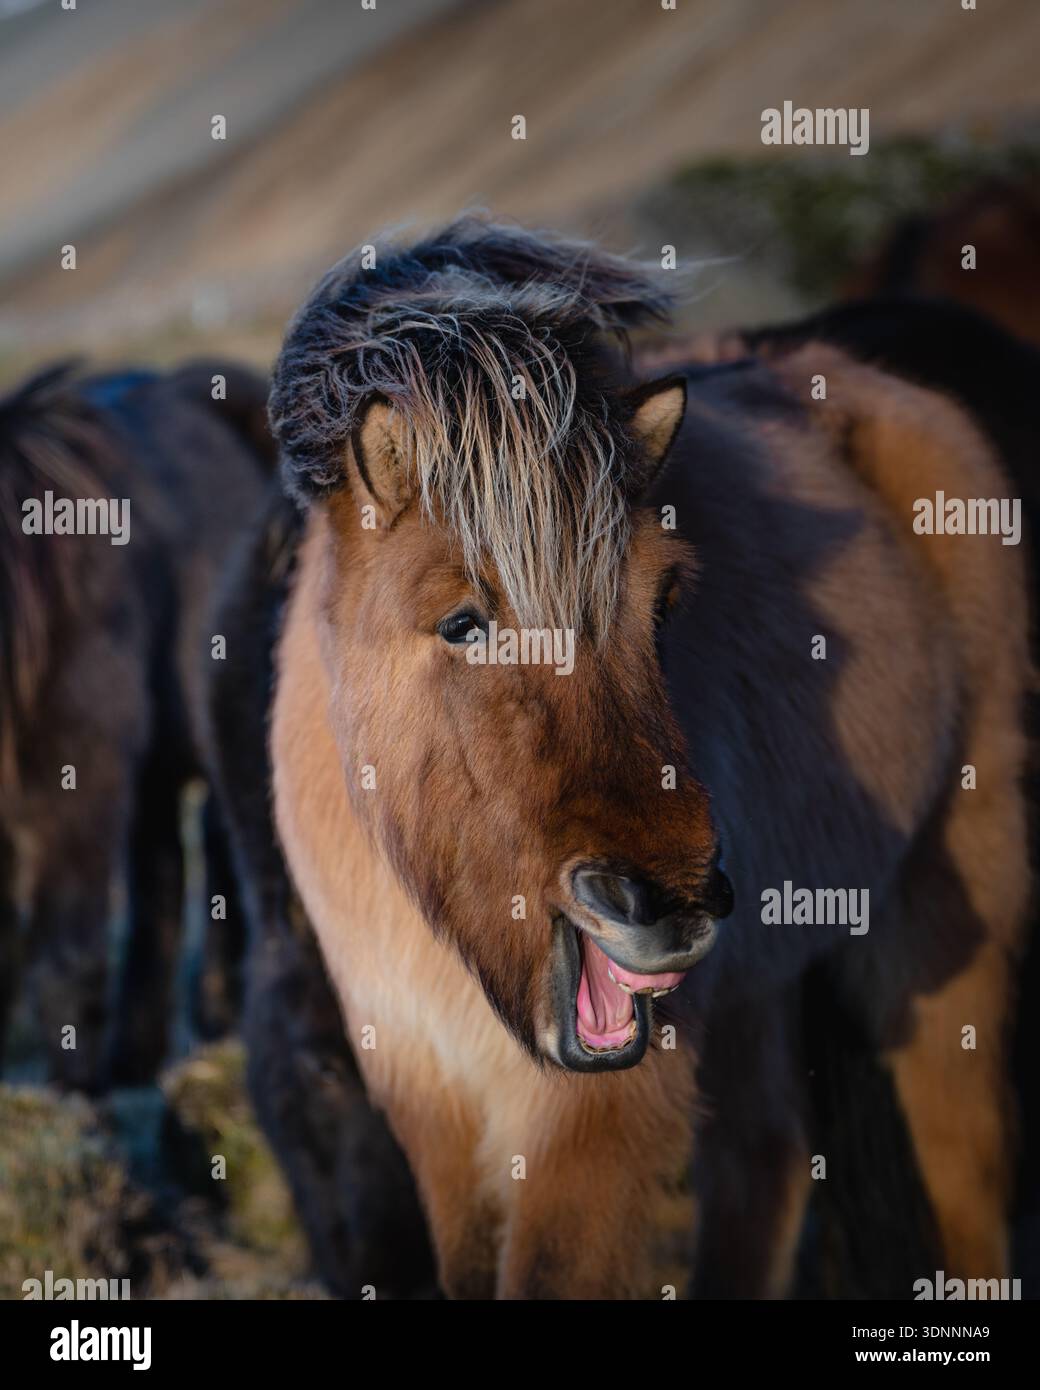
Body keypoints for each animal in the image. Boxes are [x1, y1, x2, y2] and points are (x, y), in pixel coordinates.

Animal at [225, 214, 1032, 1298]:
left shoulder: (591, 1124)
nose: (668, 905)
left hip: (938, 928)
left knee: (961, 1174)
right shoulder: (433, 1109)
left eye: (663, 602)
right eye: (461, 623)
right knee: (765, 1166)